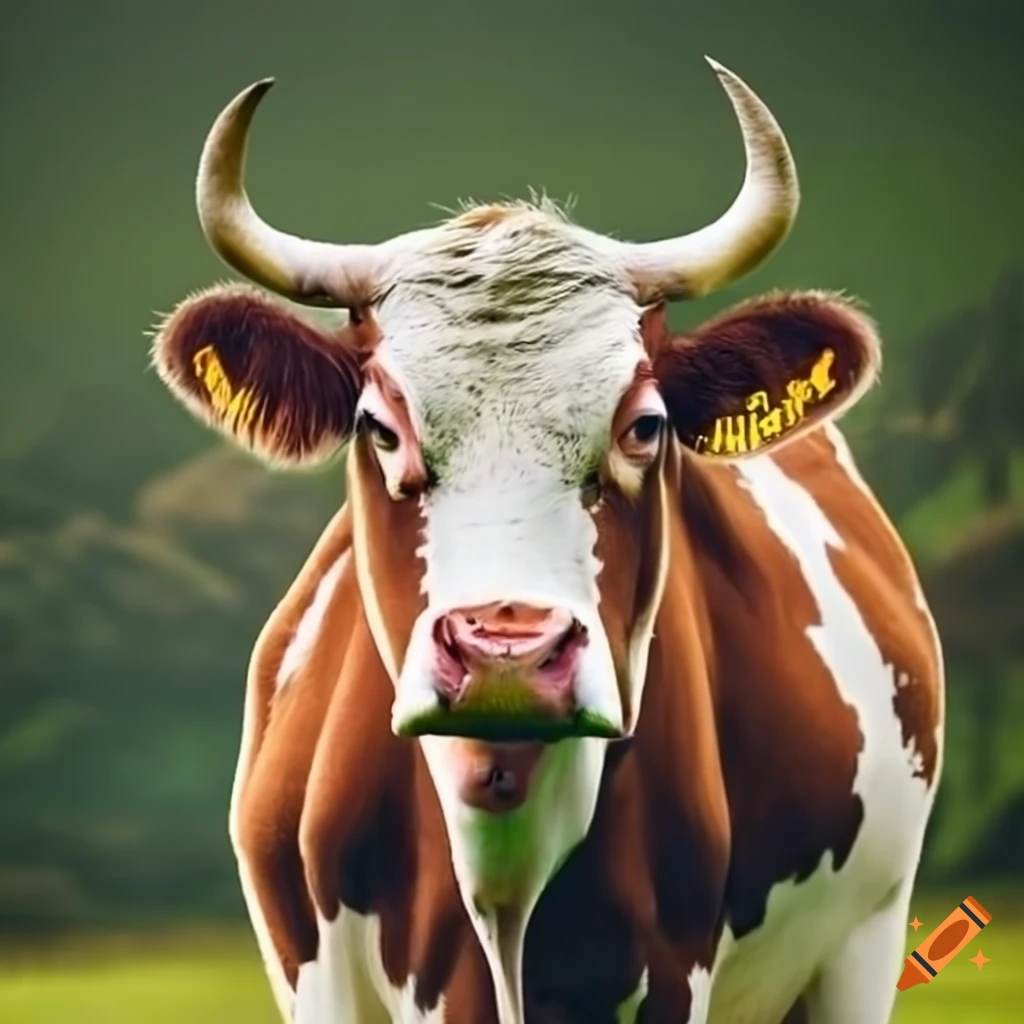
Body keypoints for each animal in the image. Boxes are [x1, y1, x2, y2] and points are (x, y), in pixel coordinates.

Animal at [151, 59, 944, 1024]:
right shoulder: (322, 982)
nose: (509, 652)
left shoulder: (680, 973)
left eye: (644, 426)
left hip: (864, 941)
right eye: (379, 427)